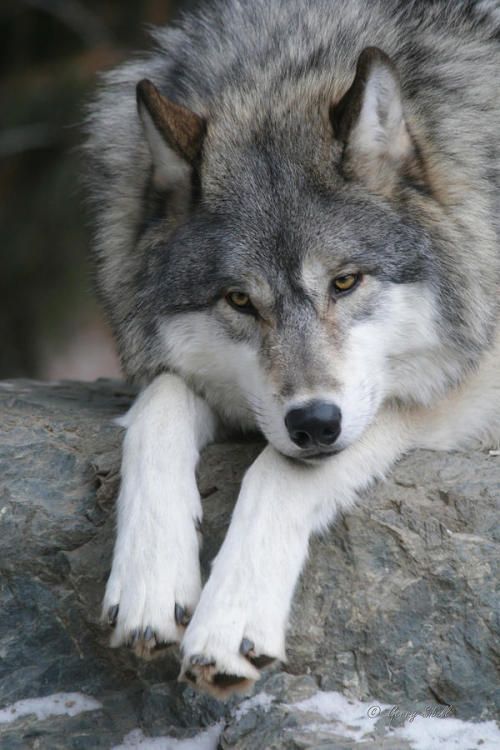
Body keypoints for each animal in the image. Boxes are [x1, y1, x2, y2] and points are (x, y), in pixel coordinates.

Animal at [84, 0, 498, 700]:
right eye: (240, 301)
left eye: (345, 282)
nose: (313, 424)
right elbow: (159, 404)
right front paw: (149, 581)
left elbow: (276, 472)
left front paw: (231, 618)